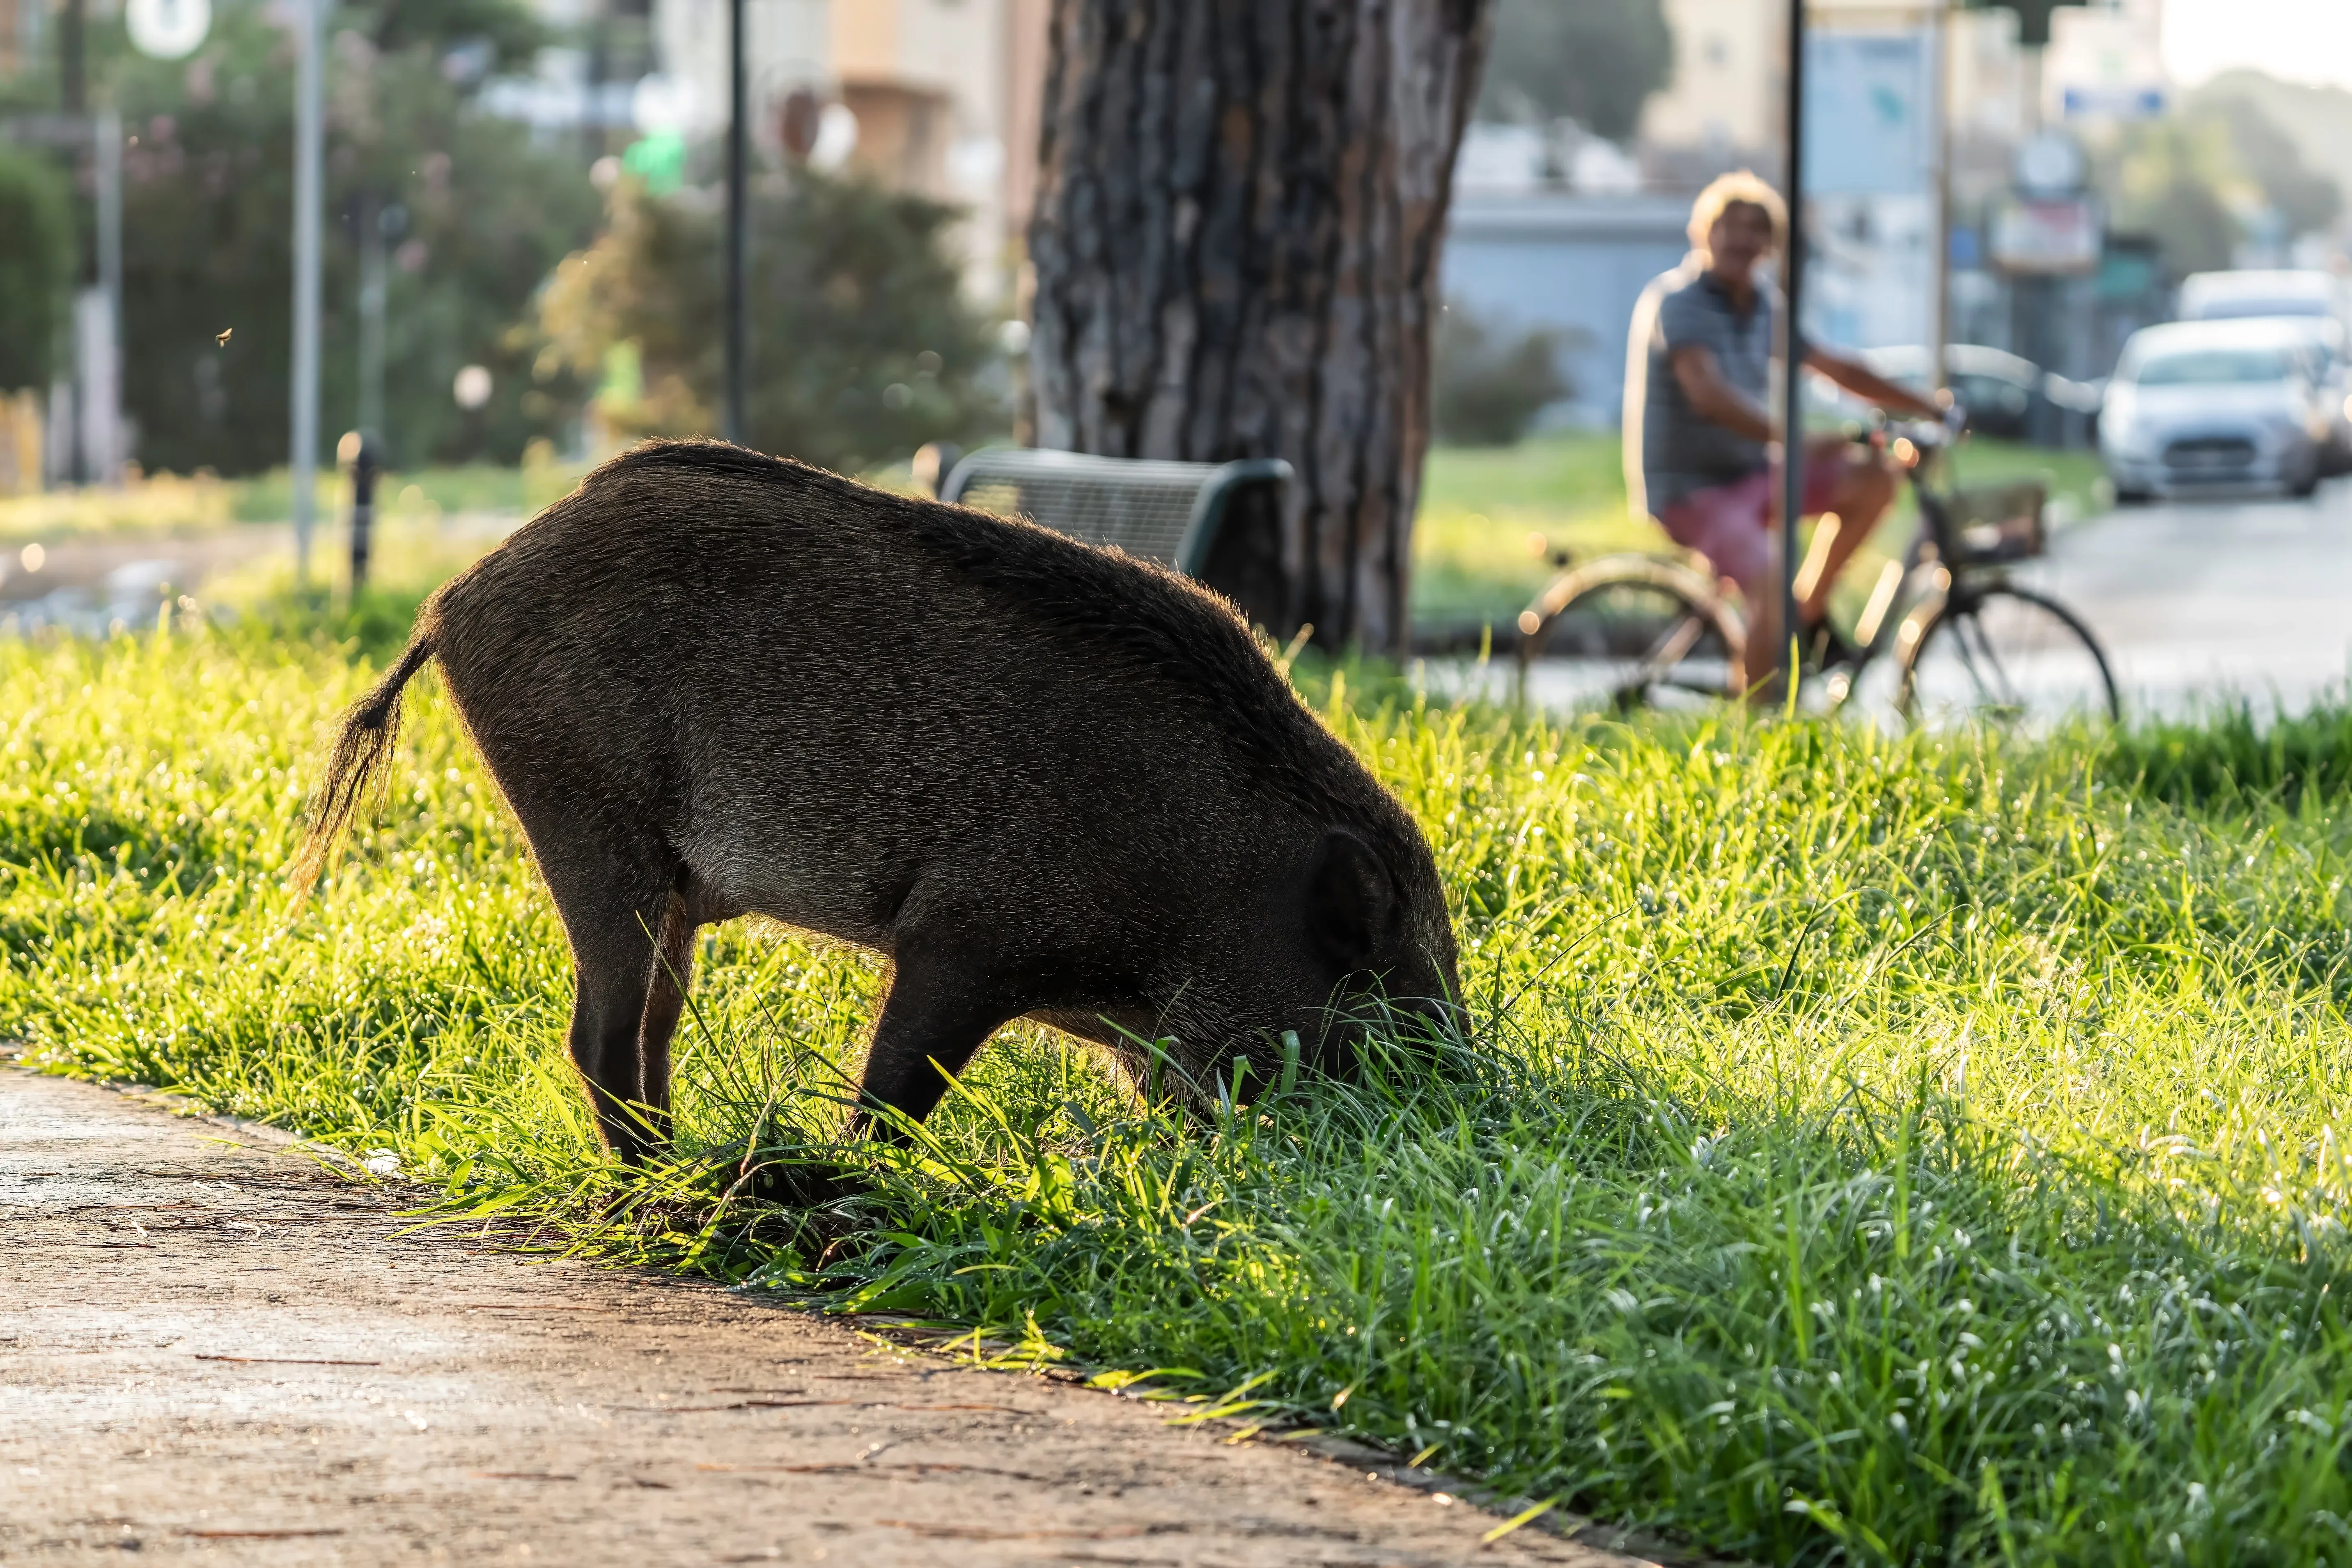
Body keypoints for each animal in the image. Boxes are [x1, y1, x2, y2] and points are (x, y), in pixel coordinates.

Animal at [296, 440, 1461, 1168]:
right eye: (1382, 990)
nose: (1460, 1108)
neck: (1211, 871)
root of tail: (452, 600)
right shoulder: (964, 936)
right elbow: (894, 1090)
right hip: (585, 816)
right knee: (602, 1034)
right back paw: (654, 1186)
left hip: (660, 880)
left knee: (652, 1026)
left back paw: (681, 1165)